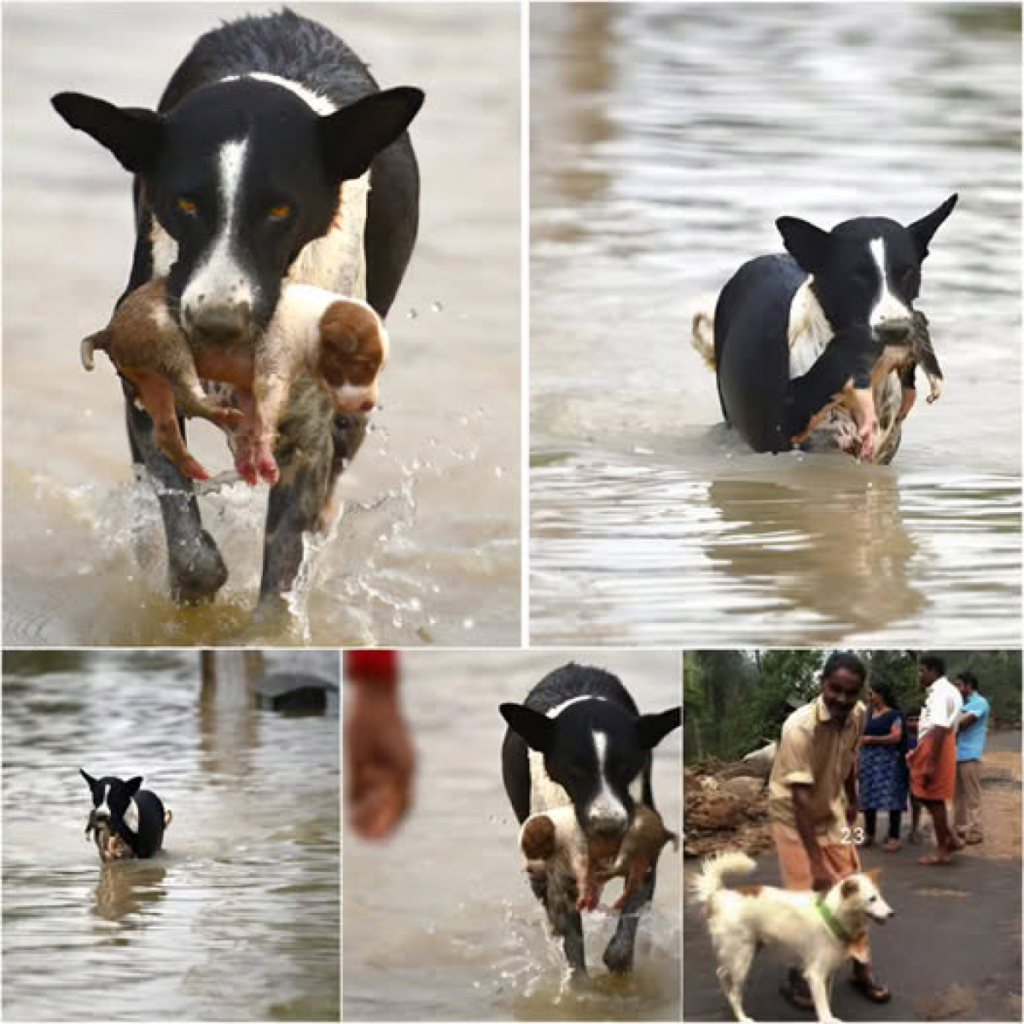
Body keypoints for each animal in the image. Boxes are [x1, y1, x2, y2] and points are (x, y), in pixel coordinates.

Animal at [51, 9, 423, 614]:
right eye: (184, 204)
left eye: (279, 211)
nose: (216, 325)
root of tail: (280, 18)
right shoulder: (144, 389)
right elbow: (183, 528)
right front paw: (191, 581)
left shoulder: (309, 432)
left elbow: (283, 566)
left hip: (354, 401)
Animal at [497, 667, 679, 978]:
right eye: (576, 770)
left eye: (626, 766)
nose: (609, 826)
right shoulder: (559, 878)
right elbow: (573, 949)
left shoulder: (643, 855)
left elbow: (625, 934)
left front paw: (619, 963)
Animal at [688, 847, 897, 1024]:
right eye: (872, 899)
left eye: (880, 896)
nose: (892, 914)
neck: (834, 915)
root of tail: (719, 896)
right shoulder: (815, 974)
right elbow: (823, 1008)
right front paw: (827, 1019)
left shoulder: (827, 974)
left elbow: (826, 1001)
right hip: (742, 960)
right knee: (734, 992)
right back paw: (742, 1017)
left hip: (746, 952)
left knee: (722, 974)